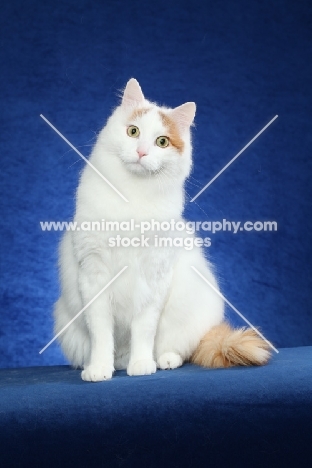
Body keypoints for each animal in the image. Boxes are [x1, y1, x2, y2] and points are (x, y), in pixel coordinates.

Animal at [53, 78, 270, 382]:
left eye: (162, 142)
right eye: (133, 132)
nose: (141, 152)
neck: (132, 195)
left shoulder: (154, 275)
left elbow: (144, 328)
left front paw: (142, 364)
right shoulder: (94, 274)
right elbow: (101, 332)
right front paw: (99, 368)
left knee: (177, 349)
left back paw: (161, 360)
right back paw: (112, 363)